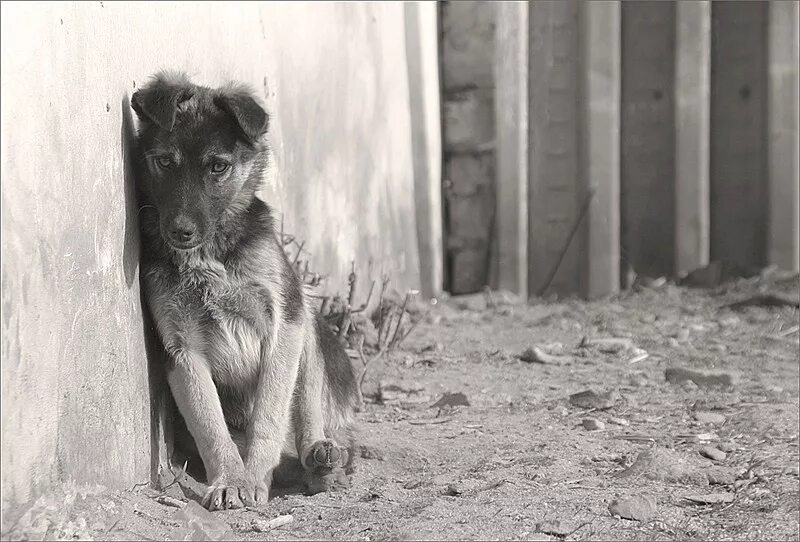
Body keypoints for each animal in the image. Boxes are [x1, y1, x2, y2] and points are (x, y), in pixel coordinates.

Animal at [133, 73, 358, 516]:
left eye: (218, 167)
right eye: (164, 162)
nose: (180, 232)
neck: (212, 254)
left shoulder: (284, 324)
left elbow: (269, 415)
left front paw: (252, 478)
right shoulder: (181, 349)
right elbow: (210, 425)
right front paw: (230, 480)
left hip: (307, 326)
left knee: (308, 414)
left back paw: (322, 459)